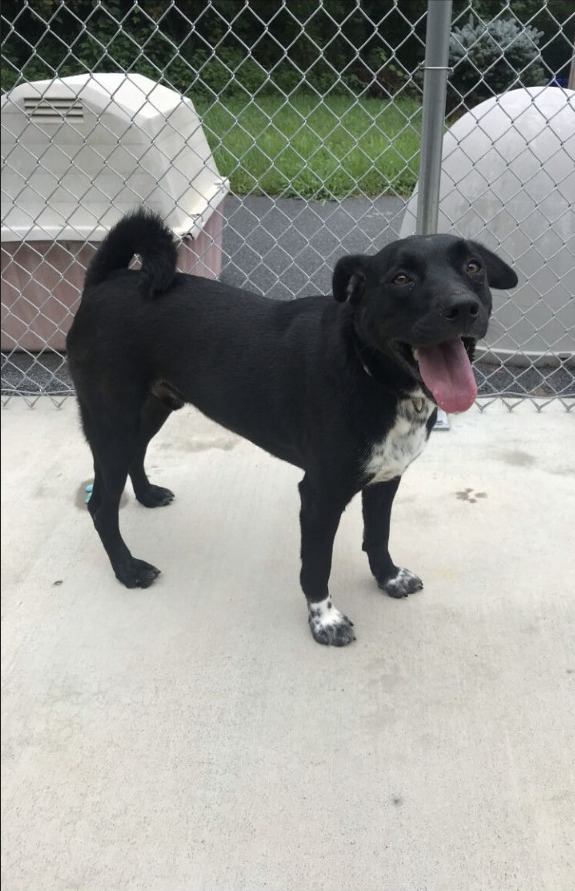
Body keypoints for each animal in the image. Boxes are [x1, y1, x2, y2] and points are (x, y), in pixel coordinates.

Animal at [66, 211, 516, 640]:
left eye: (474, 267)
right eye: (401, 278)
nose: (463, 307)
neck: (367, 368)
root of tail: (106, 280)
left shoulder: (386, 478)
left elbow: (378, 535)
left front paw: (389, 578)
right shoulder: (320, 494)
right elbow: (317, 566)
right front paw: (325, 621)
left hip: (151, 408)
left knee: (135, 456)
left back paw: (146, 495)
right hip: (113, 420)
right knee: (100, 505)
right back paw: (127, 569)